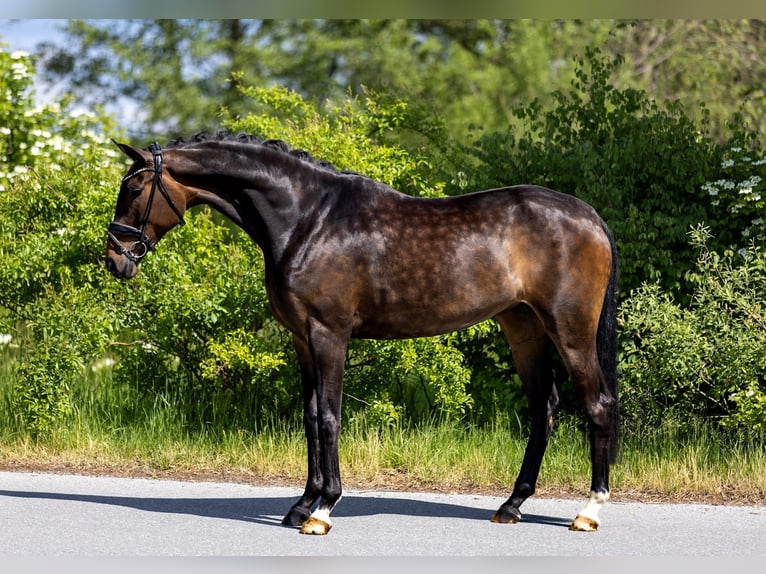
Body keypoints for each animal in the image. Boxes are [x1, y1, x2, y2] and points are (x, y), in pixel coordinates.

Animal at [105, 132, 619, 535]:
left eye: (134, 187)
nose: (114, 259)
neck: (308, 218)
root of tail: (590, 217)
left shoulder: (328, 334)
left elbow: (330, 418)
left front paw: (324, 509)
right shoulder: (301, 339)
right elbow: (311, 417)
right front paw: (301, 505)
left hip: (569, 329)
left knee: (596, 404)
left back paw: (589, 510)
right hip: (522, 326)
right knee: (543, 407)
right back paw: (511, 505)